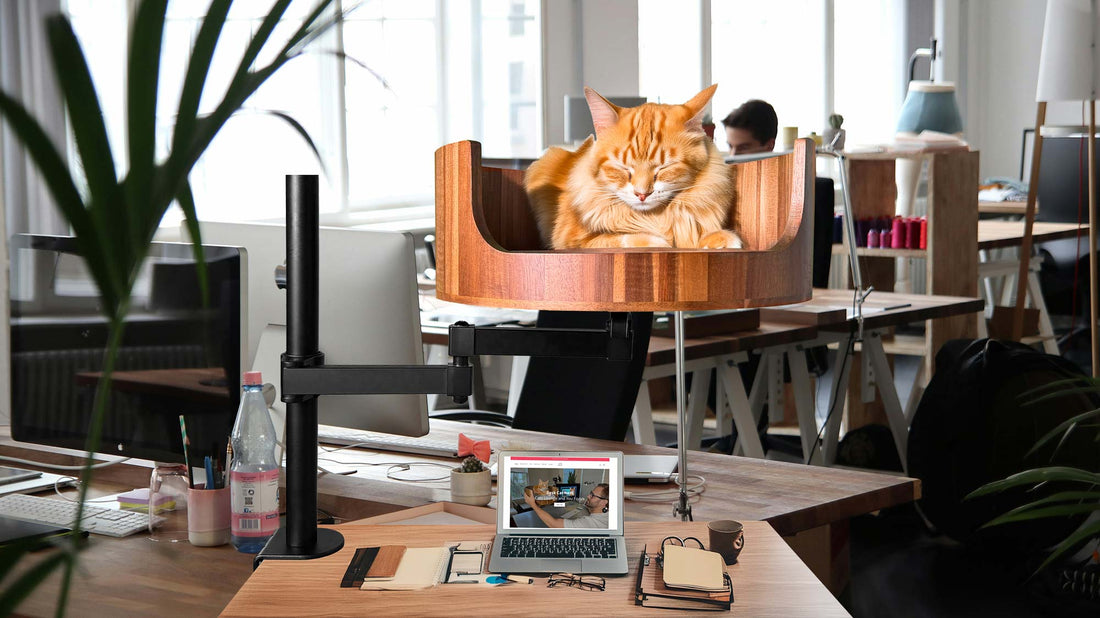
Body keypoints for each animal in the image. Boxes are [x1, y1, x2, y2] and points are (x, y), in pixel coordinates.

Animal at [521, 84, 739, 247]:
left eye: (664, 168)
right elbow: (622, 238)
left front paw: (720, 238)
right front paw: (658, 241)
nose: (642, 194)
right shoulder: (570, 240)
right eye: (623, 168)